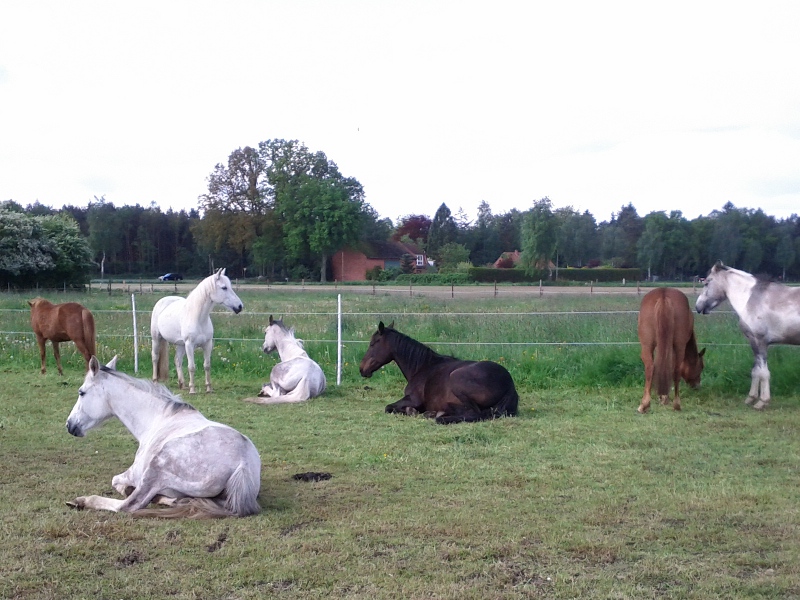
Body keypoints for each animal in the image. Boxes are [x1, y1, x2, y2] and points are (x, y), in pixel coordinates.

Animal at [65, 356, 261, 518]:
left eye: (81, 392)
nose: (69, 425)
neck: (158, 419)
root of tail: (242, 464)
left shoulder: (134, 474)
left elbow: (116, 482)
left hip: (155, 470)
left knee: (129, 505)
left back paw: (82, 501)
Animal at [359, 321, 519, 424]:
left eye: (372, 344)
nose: (362, 369)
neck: (422, 367)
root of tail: (509, 385)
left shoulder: (413, 399)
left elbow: (388, 407)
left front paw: (412, 411)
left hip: (456, 378)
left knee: (474, 414)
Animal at [696, 261, 800, 410]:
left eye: (707, 282)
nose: (698, 307)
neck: (749, 300)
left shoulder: (760, 341)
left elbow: (763, 373)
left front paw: (762, 402)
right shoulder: (753, 341)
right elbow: (755, 371)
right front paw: (751, 398)